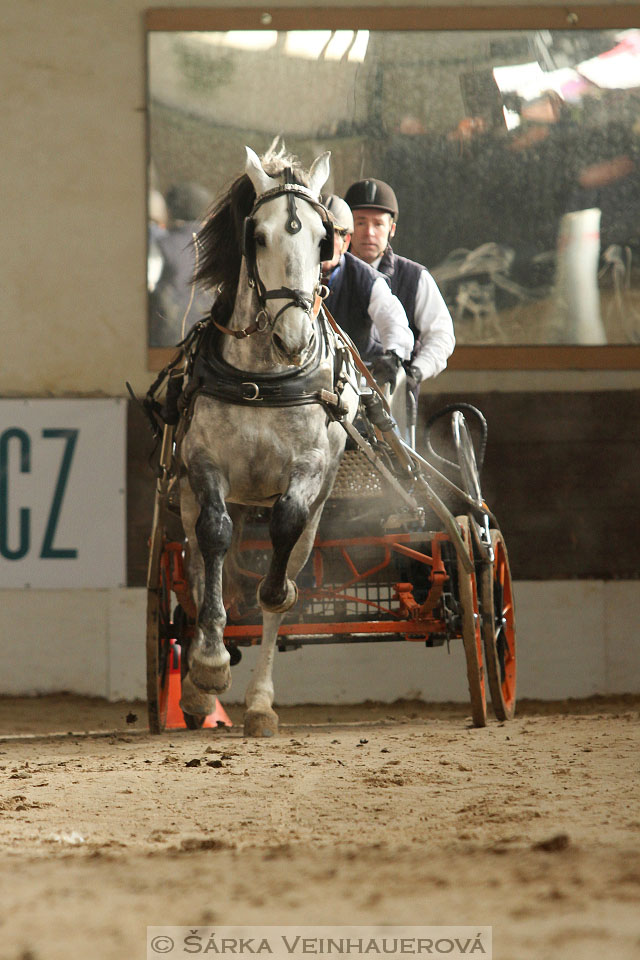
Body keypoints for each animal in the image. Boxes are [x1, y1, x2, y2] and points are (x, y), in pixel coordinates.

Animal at [179, 144, 360, 736]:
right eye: (256, 235)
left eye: (323, 239)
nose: (293, 337)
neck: (264, 376)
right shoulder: (204, 465)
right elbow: (215, 538)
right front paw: (209, 665)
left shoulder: (307, 470)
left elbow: (282, 543)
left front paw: (276, 592)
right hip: (188, 498)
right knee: (197, 565)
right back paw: (197, 687)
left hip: (317, 509)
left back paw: (260, 704)